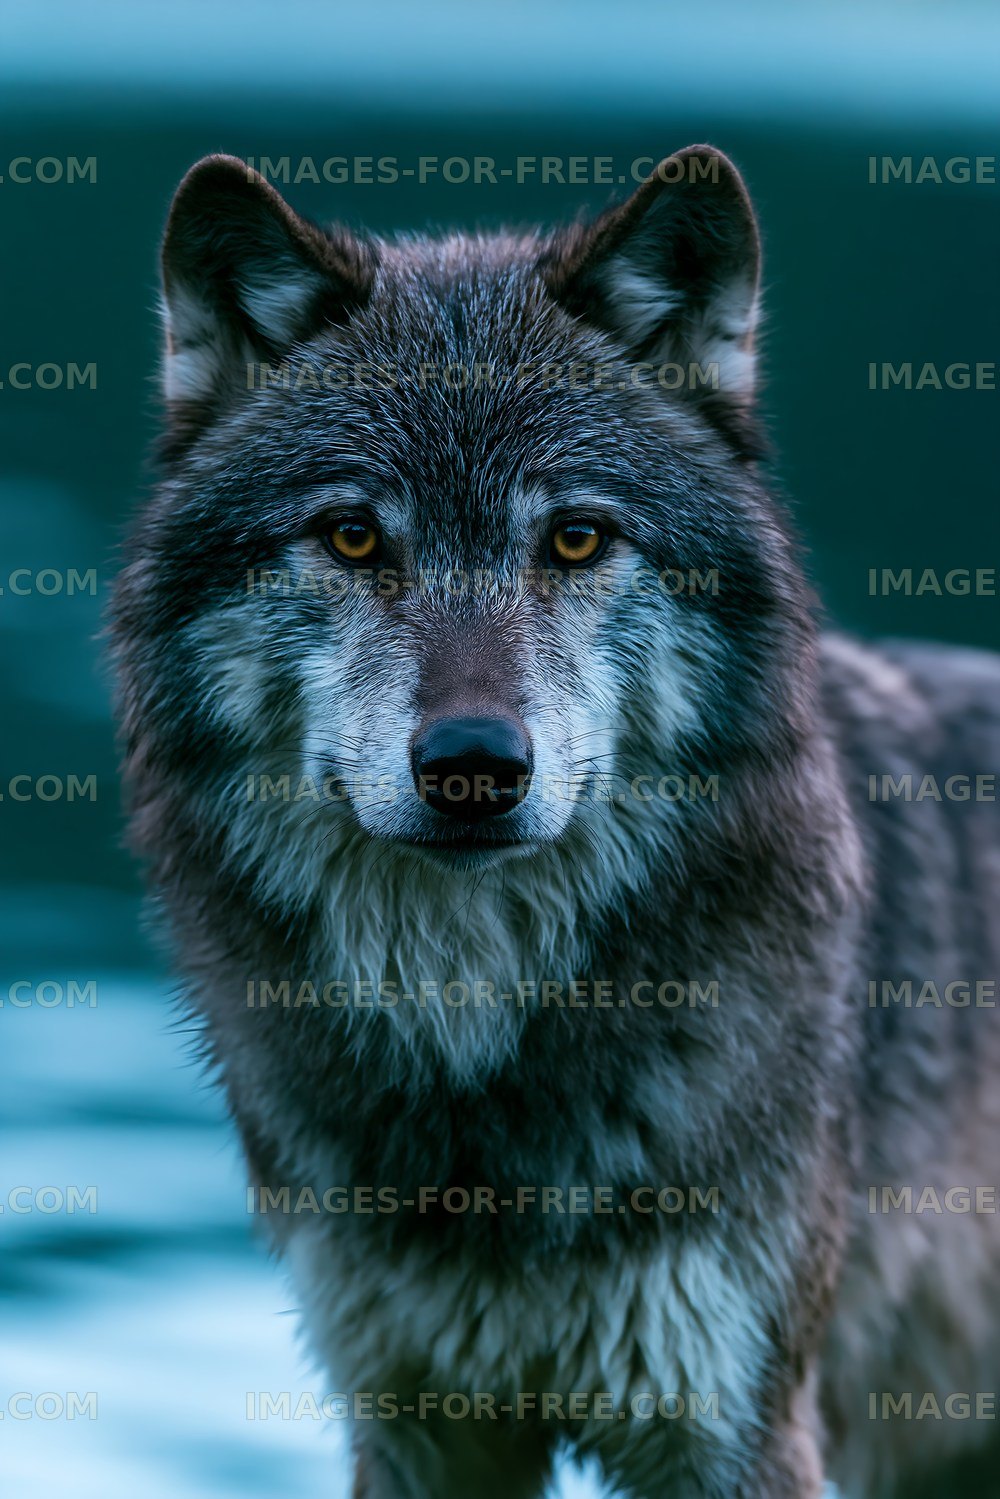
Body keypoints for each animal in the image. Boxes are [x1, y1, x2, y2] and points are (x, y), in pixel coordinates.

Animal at [112, 146, 1000, 1498]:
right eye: (352, 534)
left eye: (576, 536)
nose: (473, 764)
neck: (478, 1029)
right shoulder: (418, 1419)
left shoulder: (739, 1423)